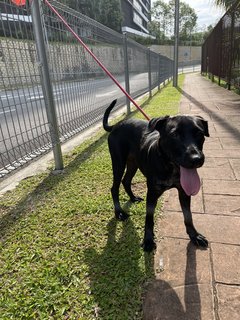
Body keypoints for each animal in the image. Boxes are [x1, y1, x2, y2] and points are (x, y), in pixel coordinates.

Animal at [103, 99, 210, 250]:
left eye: (199, 134)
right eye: (175, 134)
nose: (196, 159)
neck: (170, 166)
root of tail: (117, 125)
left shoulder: (184, 192)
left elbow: (188, 216)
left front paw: (194, 236)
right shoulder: (152, 193)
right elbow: (149, 218)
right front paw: (148, 240)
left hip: (133, 163)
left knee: (126, 181)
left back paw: (133, 198)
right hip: (118, 162)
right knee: (114, 187)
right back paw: (119, 213)